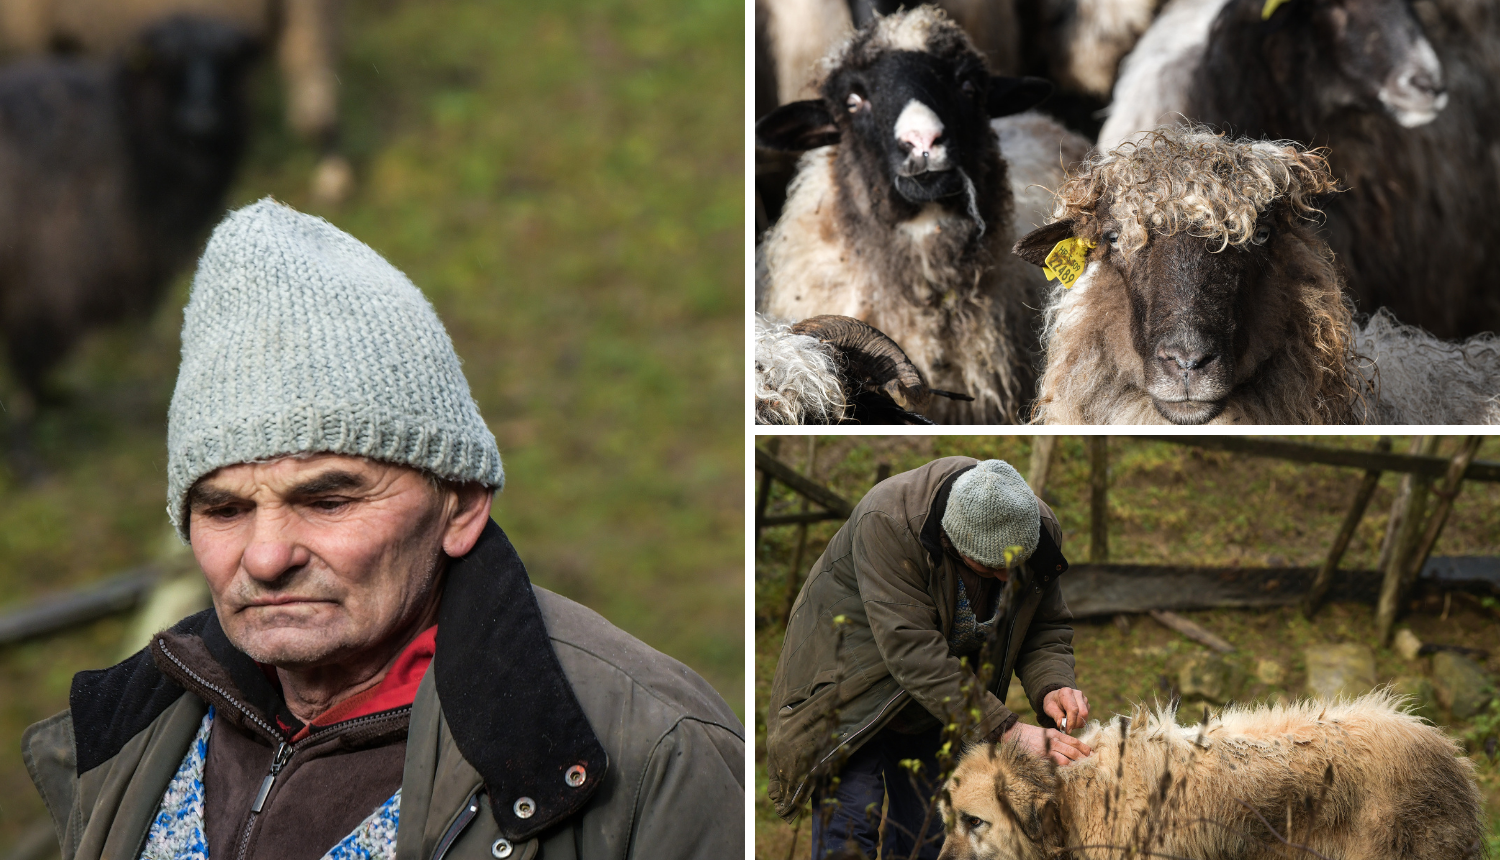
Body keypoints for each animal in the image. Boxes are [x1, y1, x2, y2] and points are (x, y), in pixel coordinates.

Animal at [0, 15, 258, 408]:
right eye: (169, 63)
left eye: (228, 62)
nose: (202, 118)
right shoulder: (44, 279)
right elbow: (32, 358)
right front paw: (33, 412)